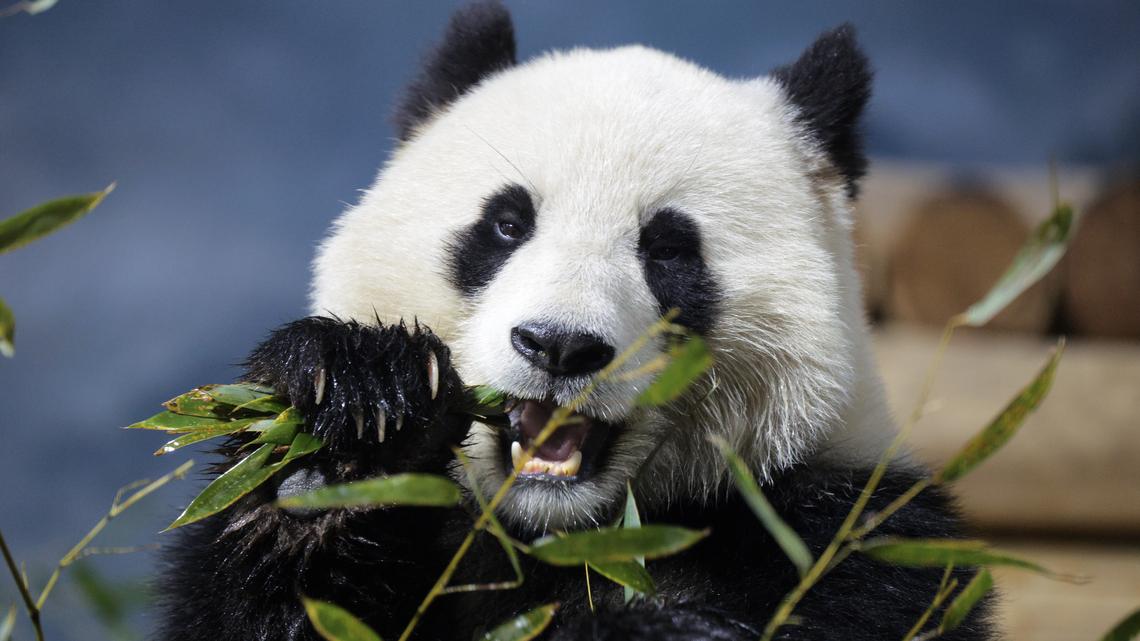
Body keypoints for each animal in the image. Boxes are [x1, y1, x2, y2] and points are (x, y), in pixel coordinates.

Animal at [158, 3, 994, 641]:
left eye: (668, 248)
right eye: (505, 224)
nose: (559, 345)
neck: (561, 530)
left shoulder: (847, 536)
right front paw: (354, 425)